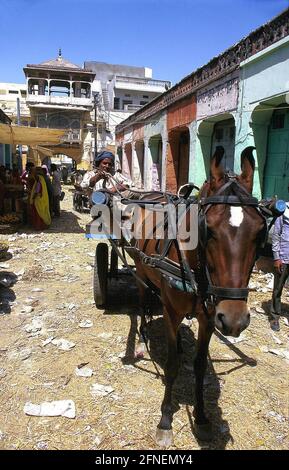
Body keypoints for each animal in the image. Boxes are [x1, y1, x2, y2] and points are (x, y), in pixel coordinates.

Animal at [127, 147, 266, 448]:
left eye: (260, 231)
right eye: (208, 230)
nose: (235, 320)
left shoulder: (209, 317)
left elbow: (200, 366)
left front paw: (202, 418)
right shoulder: (171, 311)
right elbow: (171, 366)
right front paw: (165, 419)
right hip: (141, 267)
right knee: (143, 299)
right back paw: (143, 333)